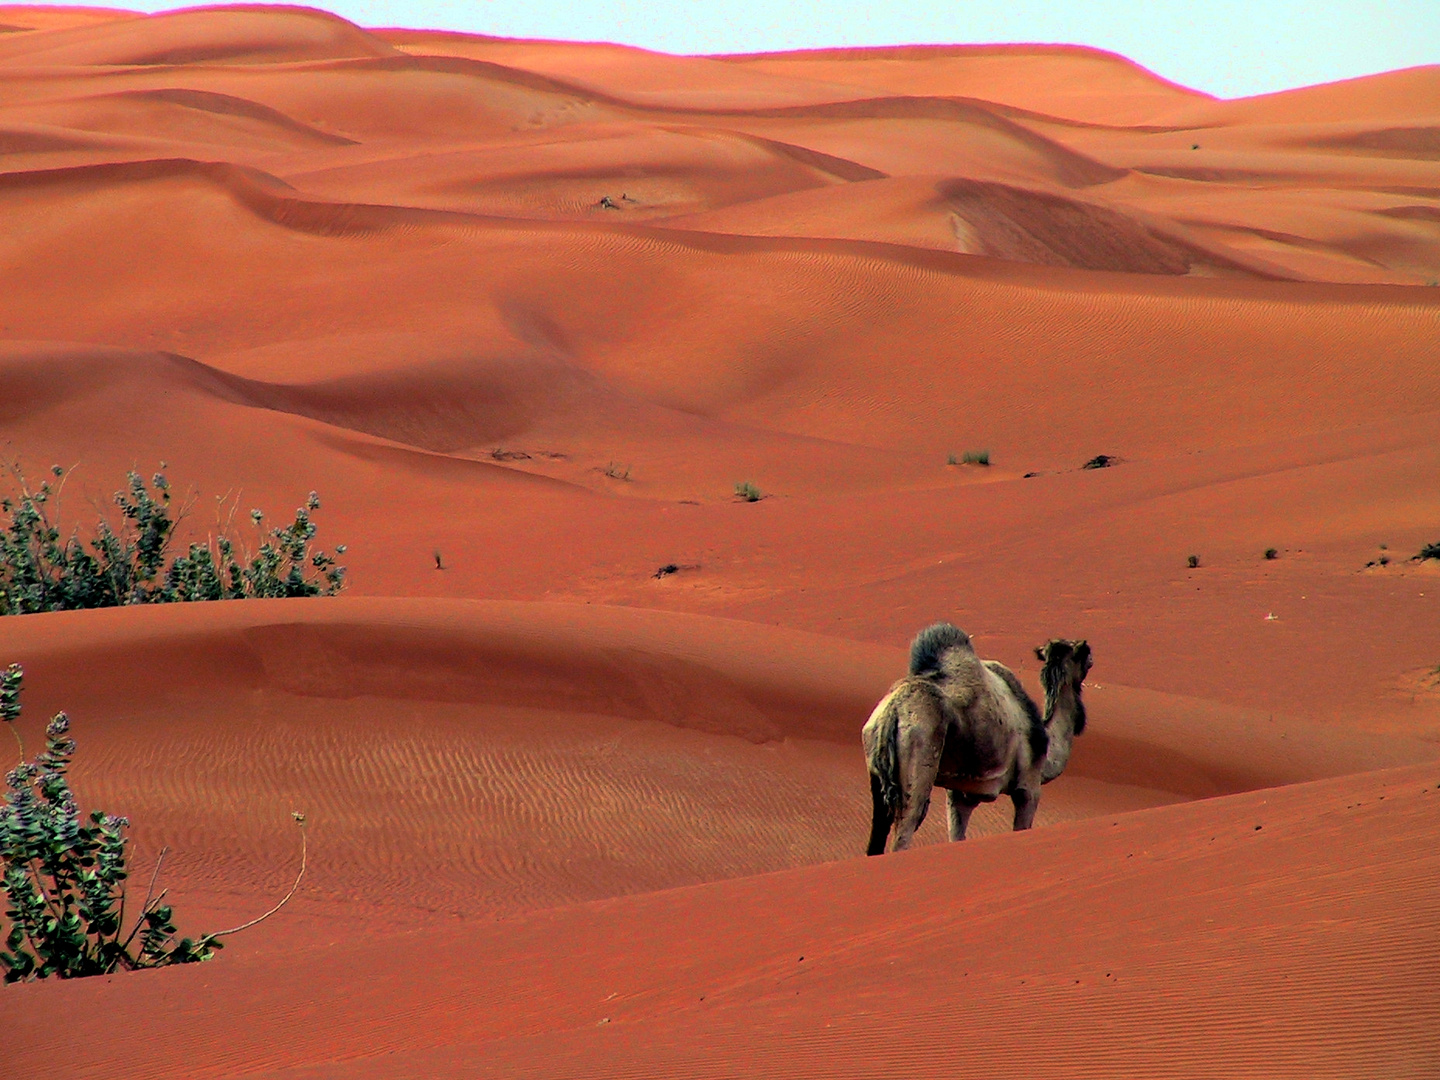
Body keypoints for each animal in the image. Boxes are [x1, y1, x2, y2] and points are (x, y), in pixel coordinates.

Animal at [864, 624, 1088, 852]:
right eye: (1083, 654)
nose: (1090, 655)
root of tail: (891, 712)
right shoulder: (1029, 786)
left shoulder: (960, 794)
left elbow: (957, 835)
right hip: (918, 751)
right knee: (906, 828)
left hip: (876, 768)